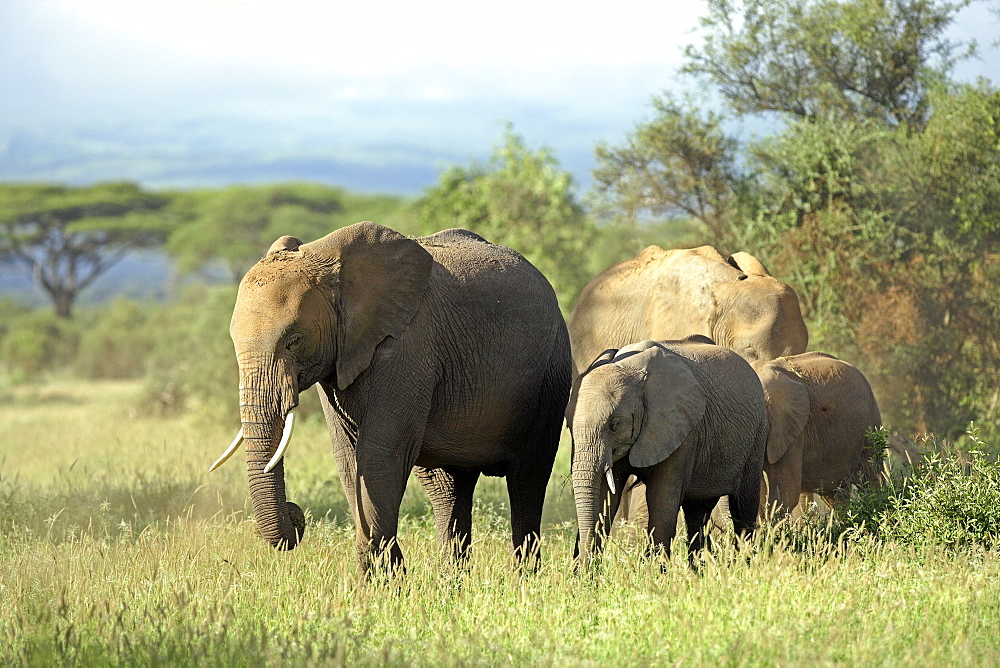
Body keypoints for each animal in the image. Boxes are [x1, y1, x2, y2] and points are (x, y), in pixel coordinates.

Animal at [211, 223, 572, 576]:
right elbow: (348, 458)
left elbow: (379, 454)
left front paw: (381, 578)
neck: (326, 258)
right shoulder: (339, 360)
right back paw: (453, 582)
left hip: (551, 374)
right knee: (448, 489)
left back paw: (523, 580)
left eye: (294, 340)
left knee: (528, 478)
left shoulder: (407, 347)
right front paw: (386, 576)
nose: (296, 515)